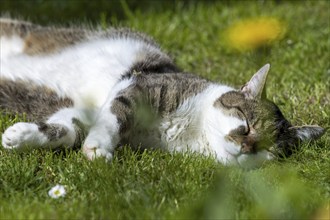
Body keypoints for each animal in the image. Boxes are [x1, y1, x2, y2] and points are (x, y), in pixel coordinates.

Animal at [0, 18, 324, 168]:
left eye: (267, 150)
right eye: (245, 125)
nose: (246, 148)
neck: (189, 132)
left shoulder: (86, 111)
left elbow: (70, 128)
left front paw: (20, 136)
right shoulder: (141, 86)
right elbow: (116, 116)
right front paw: (99, 147)